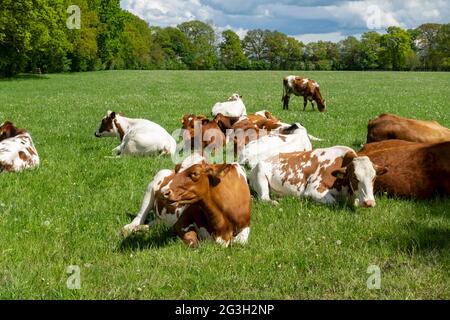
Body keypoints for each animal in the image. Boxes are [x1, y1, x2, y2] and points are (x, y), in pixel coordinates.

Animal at [121, 154, 251, 248]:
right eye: (178, 170)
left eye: (194, 173)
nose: (164, 191)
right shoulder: (181, 222)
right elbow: (194, 241)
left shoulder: (246, 224)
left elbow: (240, 242)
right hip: (152, 185)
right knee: (139, 217)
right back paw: (129, 228)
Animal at [250, 146, 386, 206]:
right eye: (354, 177)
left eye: (374, 178)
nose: (369, 202)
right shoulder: (313, 189)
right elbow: (334, 202)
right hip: (260, 175)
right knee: (264, 198)